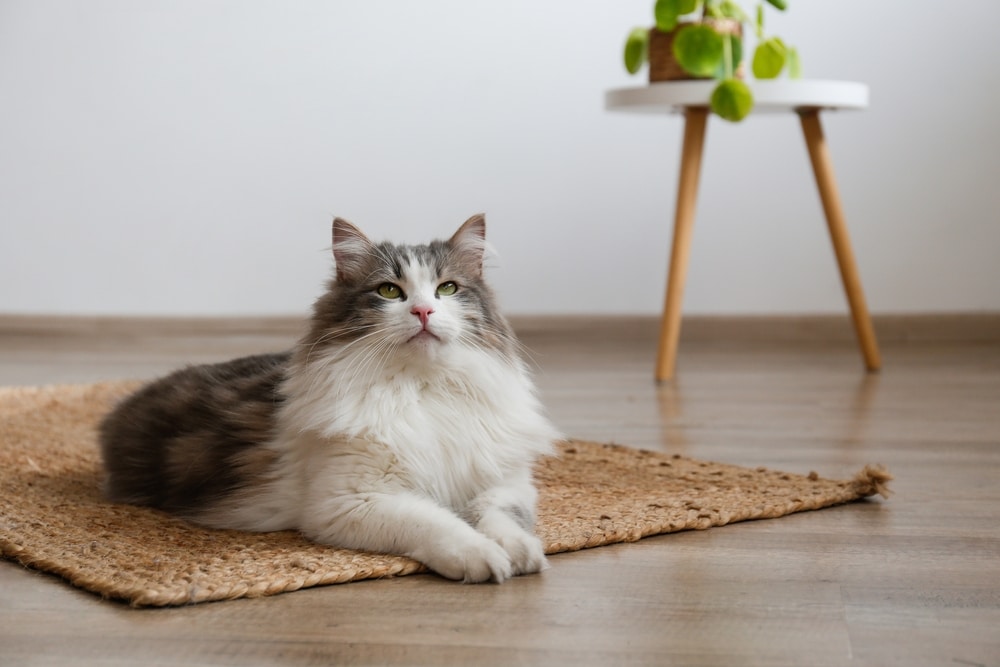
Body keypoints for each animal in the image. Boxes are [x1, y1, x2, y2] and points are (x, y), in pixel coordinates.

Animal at [98, 215, 564, 584]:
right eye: (390, 292)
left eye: (447, 289)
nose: (423, 312)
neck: (421, 388)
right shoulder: (351, 501)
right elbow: (439, 523)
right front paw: (482, 557)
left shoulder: (505, 483)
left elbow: (501, 518)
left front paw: (522, 552)